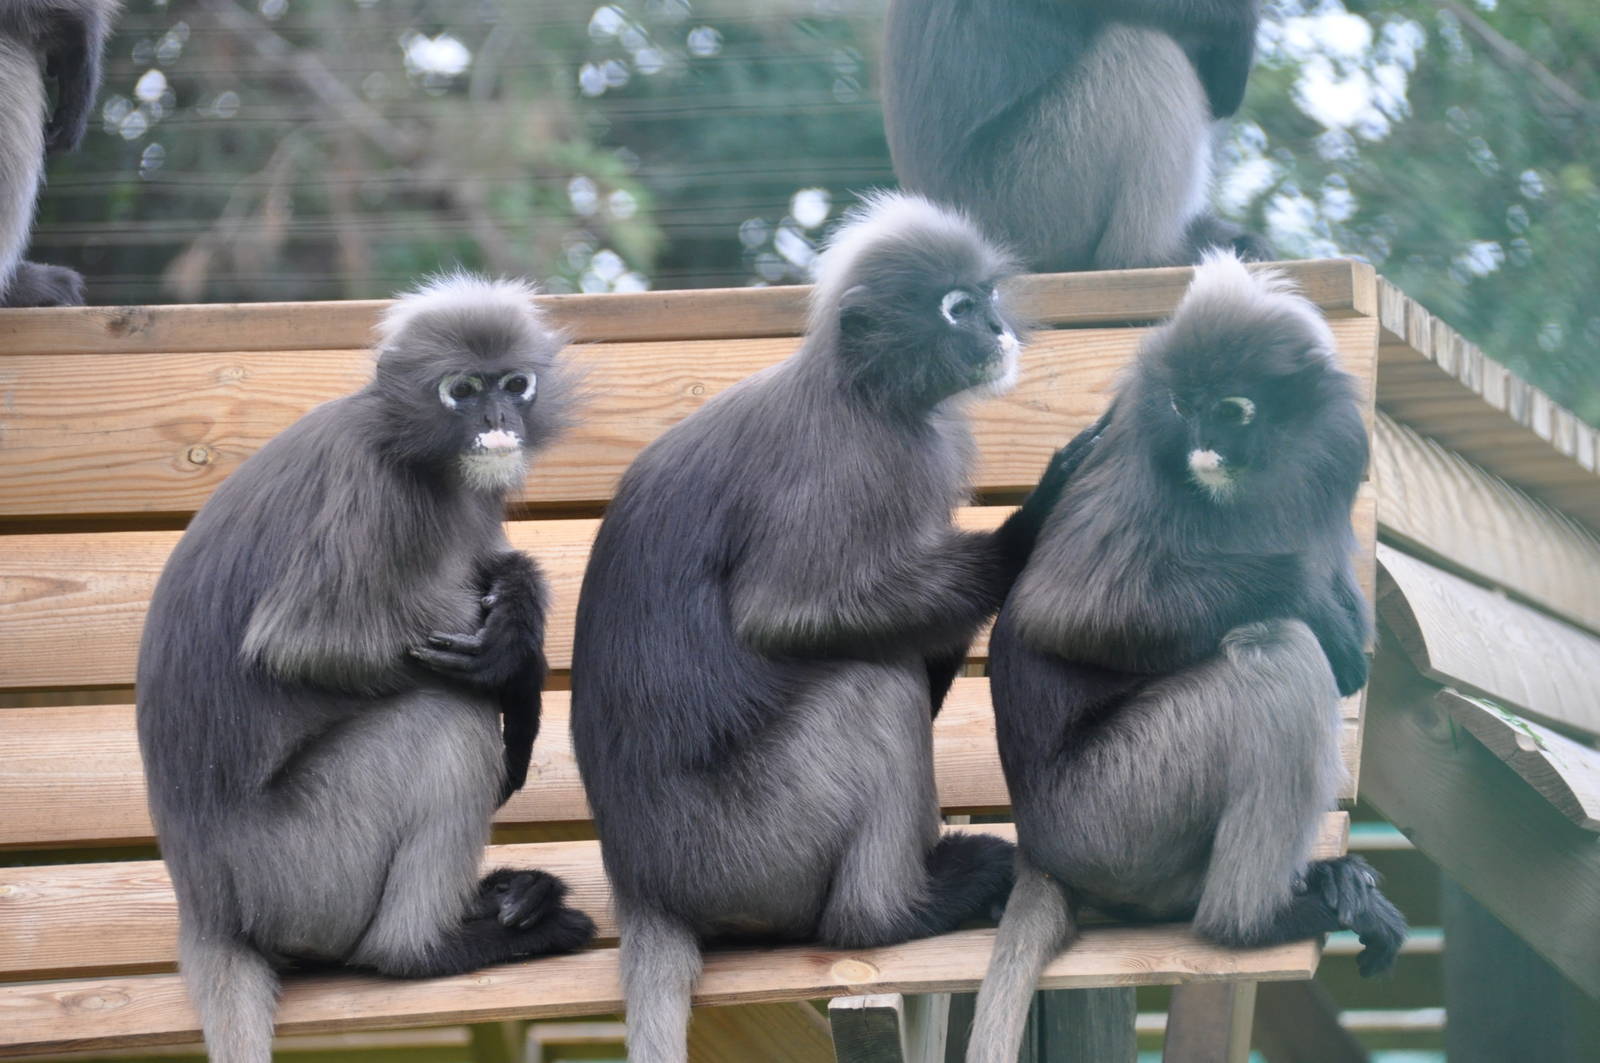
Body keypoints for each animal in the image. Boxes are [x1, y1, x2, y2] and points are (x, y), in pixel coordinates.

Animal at [136, 275, 596, 1063]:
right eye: (462, 390)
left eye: (514, 384)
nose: (497, 420)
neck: (409, 446)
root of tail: (206, 909)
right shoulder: (373, 490)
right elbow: (303, 645)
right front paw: (520, 673)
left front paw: (519, 604)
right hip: (306, 870)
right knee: (445, 713)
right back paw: (424, 948)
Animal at [568, 192, 1085, 1063]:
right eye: (958, 307)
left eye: (988, 296)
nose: (998, 328)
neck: (863, 392)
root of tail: (641, 884)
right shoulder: (849, 466)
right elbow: (784, 614)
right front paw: (1025, 530)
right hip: (753, 843)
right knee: (870, 682)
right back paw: (895, 909)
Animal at [964, 253, 1406, 1063]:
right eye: (1182, 406)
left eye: (1227, 411)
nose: (1200, 443)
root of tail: (1039, 844)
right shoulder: (1143, 434)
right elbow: (1059, 612)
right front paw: (1309, 597)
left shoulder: (1335, 437)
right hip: (1117, 806)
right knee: (1279, 648)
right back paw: (1251, 921)